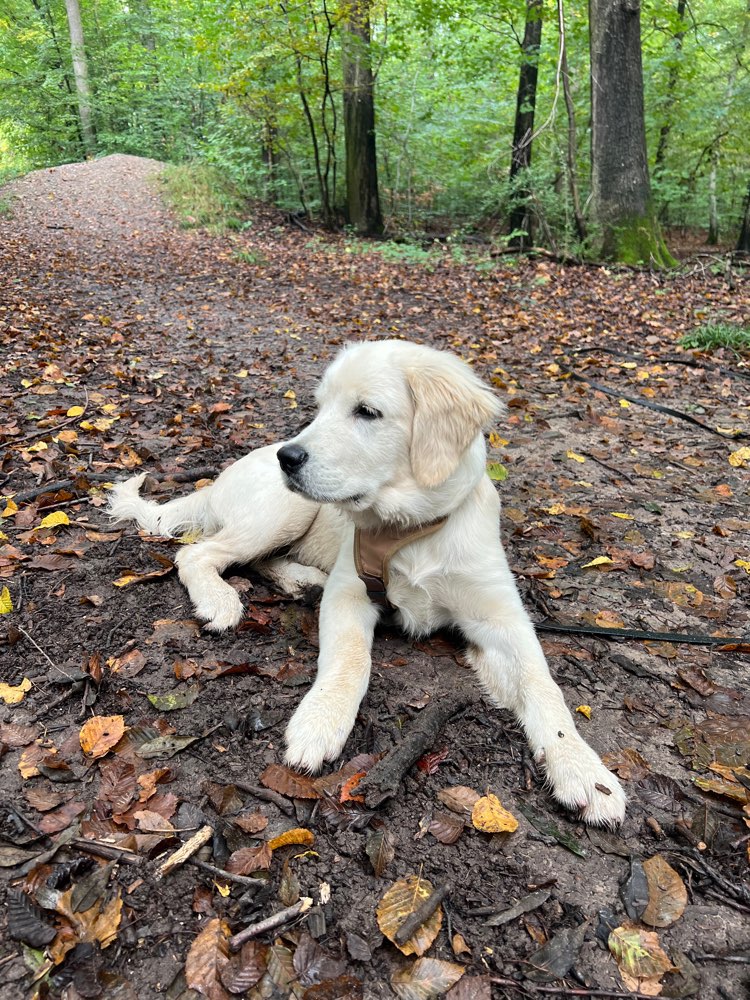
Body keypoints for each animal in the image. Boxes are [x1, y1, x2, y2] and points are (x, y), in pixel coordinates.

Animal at [110, 340, 628, 824]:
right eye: (319, 406)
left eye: (366, 411)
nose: (287, 457)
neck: (412, 529)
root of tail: (218, 480)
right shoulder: (350, 591)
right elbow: (350, 660)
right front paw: (320, 721)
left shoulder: (500, 617)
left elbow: (544, 686)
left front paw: (584, 770)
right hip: (283, 510)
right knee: (197, 553)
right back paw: (221, 600)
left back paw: (299, 580)